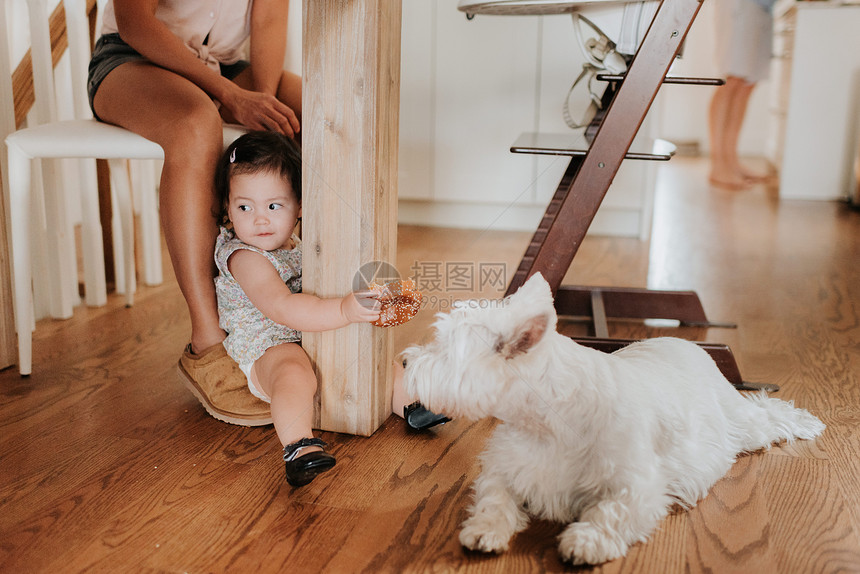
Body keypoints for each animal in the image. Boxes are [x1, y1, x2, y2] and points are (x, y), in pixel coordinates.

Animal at [404, 274, 828, 568]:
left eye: (443, 349)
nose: (404, 360)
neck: (546, 420)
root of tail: (689, 344)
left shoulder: (638, 485)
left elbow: (610, 511)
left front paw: (584, 542)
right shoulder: (505, 467)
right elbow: (494, 498)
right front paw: (483, 531)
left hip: (739, 421)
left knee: (769, 414)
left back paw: (807, 422)